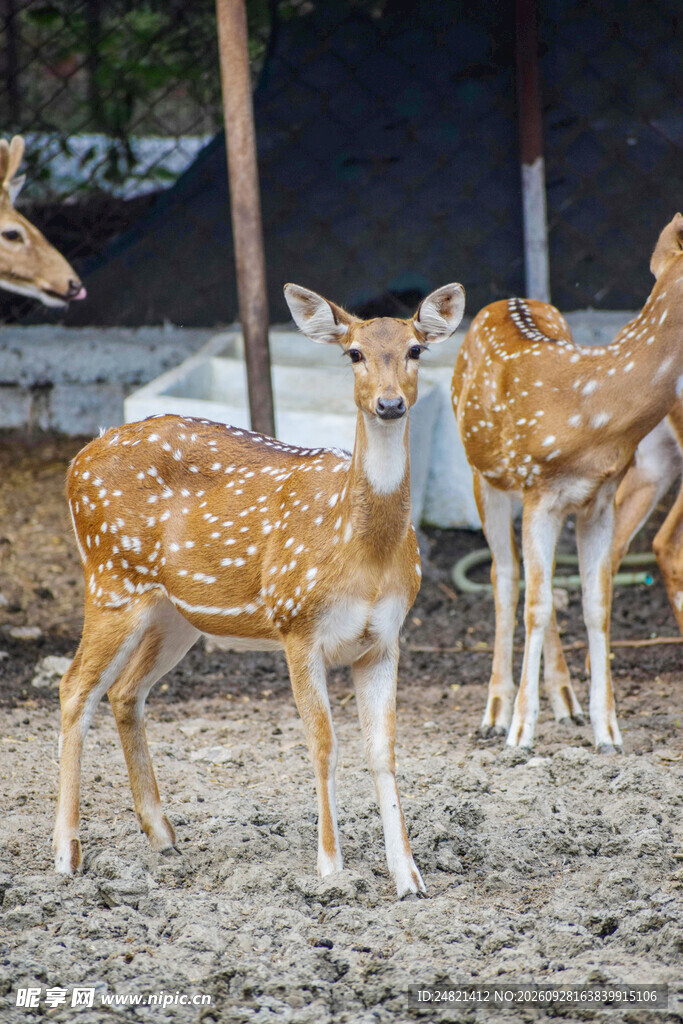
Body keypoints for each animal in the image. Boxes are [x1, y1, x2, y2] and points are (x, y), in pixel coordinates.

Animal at [53, 281, 465, 897]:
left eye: (417, 349)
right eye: (354, 353)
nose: (390, 404)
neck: (363, 554)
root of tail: (76, 460)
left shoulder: (385, 638)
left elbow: (383, 749)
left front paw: (409, 877)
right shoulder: (298, 624)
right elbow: (323, 744)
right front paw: (330, 869)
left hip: (175, 612)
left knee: (126, 691)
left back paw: (164, 837)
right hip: (111, 578)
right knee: (75, 688)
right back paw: (66, 855)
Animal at [451, 213, 683, 753]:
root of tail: (504, 300)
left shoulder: (597, 498)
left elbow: (596, 604)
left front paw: (608, 731)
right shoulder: (540, 491)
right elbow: (533, 605)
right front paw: (520, 731)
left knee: (542, 580)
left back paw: (565, 700)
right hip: (484, 476)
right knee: (505, 575)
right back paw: (494, 712)